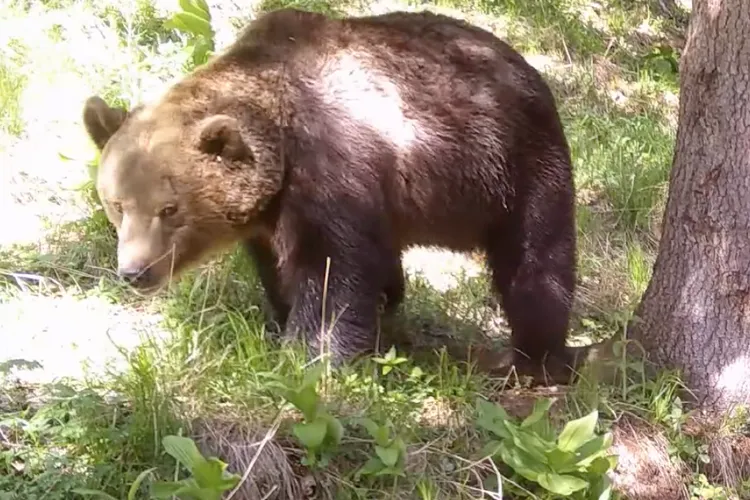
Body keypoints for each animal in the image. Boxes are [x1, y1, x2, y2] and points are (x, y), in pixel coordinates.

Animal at [79, 7, 580, 376]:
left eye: (170, 209)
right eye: (117, 205)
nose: (135, 271)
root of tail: (527, 68)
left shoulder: (331, 170)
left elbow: (330, 273)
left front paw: (310, 355)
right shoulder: (273, 215)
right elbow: (283, 268)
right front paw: (282, 322)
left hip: (513, 166)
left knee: (535, 263)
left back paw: (532, 356)